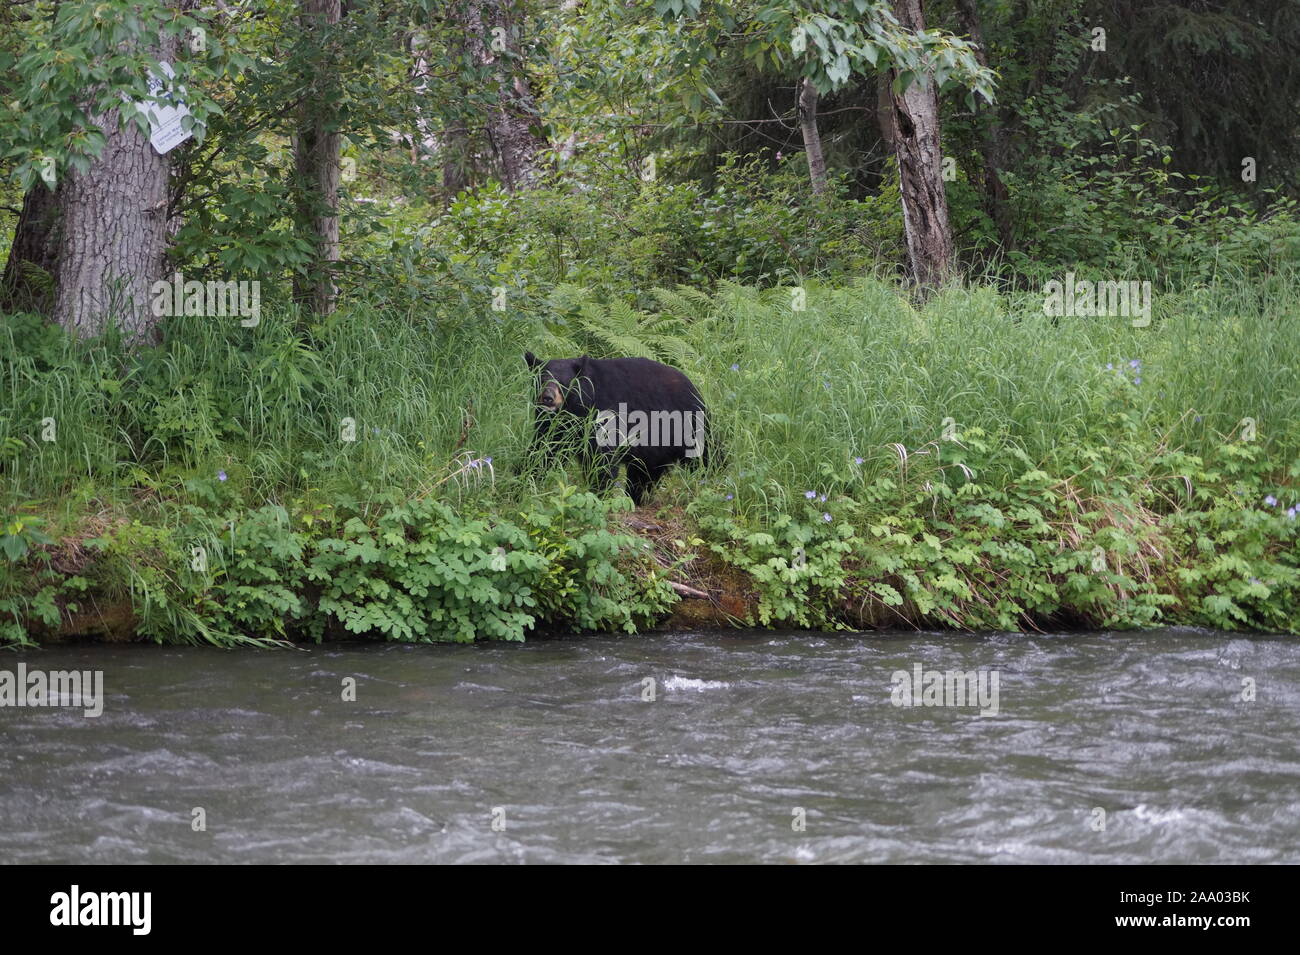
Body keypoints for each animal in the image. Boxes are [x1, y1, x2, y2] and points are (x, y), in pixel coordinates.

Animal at [523, 351, 710, 506]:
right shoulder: (555, 424)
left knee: (704, 456)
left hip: (688, 426)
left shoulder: (603, 414)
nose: (548, 398)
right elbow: (543, 450)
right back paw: (637, 499)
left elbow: (602, 459)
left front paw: (598, 496)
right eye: (542, 379)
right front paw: (524, 482)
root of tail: (695, 389)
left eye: (563, 383)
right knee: (643, 472)